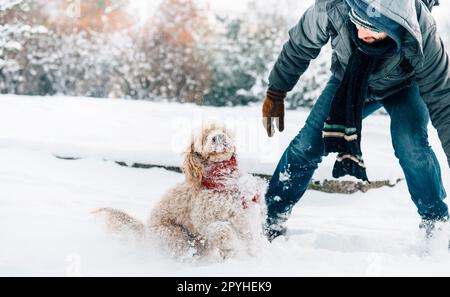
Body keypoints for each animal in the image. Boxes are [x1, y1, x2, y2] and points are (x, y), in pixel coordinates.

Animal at [93, 121, 266, 258]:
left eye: (223, 131)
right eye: (204, 137)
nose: (218, 137)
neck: (221, 181)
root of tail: (146, 232)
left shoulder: (237, 214)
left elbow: (247, 233)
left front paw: (253, 254)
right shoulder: (203, 220)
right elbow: (221, 230)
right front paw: (232, 248)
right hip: (174, 236)